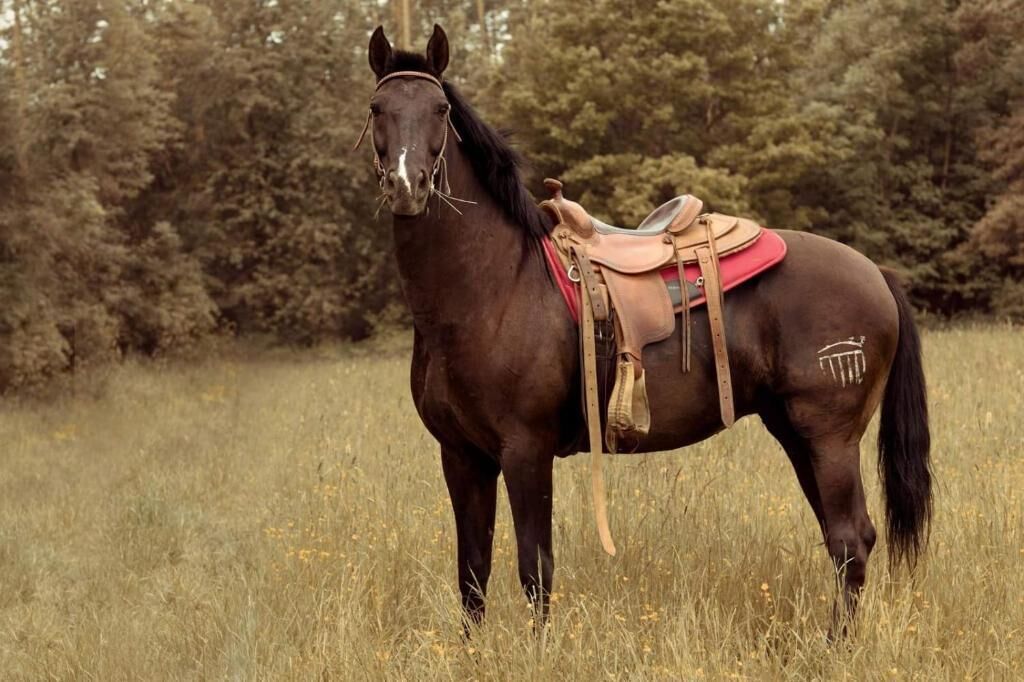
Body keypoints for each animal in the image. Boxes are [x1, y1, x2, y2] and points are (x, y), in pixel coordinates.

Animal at [357, 24, 932, 632]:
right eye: (377, 109)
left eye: (441, 110)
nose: (407, 186)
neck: (494, 287)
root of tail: (875, 273)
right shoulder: (462, 455)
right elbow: (472, 573)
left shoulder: (526, 450)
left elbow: (535, 568)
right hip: (797, 433)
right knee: (842, 539)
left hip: (830, 437)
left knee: (850, 539)